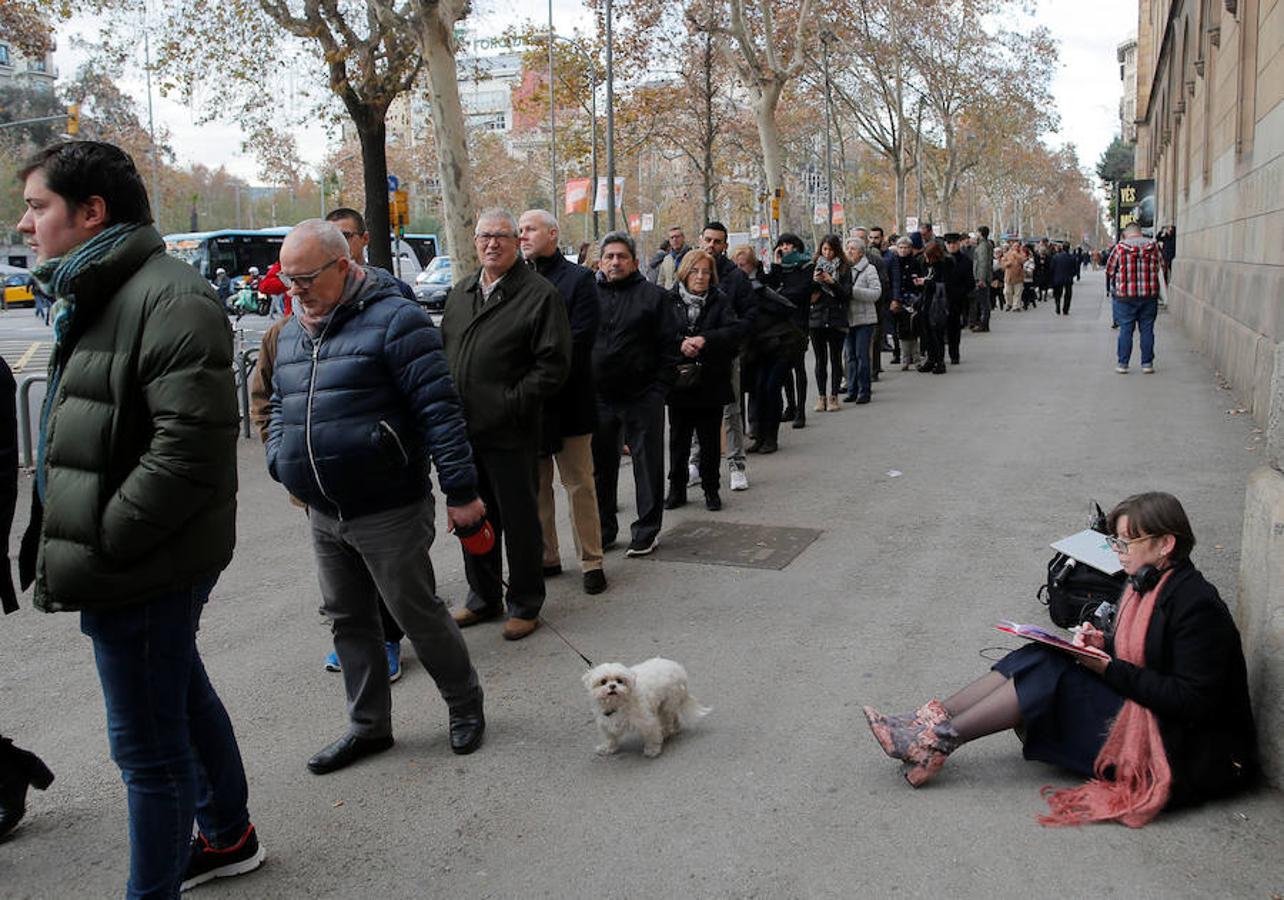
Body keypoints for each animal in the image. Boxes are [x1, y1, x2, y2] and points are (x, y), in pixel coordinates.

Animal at [585, 657, 713, 754]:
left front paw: (652, 749)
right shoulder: (605, 722)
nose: (612, 686)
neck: (618, 704)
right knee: (674, 716)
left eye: (619, 680)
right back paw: (675, 728)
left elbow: (652, 734)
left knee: (668, 720)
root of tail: (678, 668)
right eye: (603, 681)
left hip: (666, 705)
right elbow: (610, 736)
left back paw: (667, 732)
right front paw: (608, 748)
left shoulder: (647, 720)